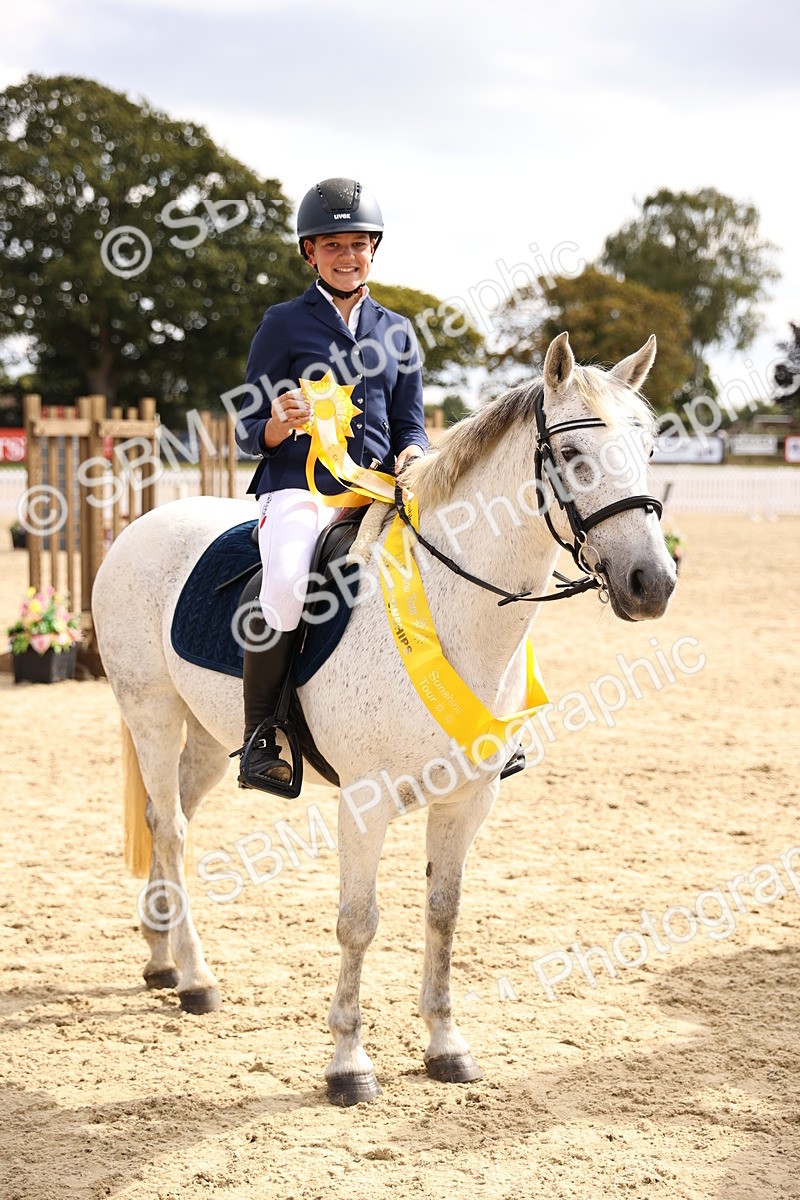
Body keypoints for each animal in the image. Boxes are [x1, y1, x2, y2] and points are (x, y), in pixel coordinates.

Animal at [92, 332, 676, 1106]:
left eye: (650, 448)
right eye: (574, 454)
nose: (653, 584)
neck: (453, 608)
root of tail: (144, 523)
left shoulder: (468, 800)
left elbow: (443, 914)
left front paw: (446, 1046)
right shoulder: (365, 802)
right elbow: (359, 924)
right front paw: (348, 1063)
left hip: (210, 735)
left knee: (175, 819)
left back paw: (161, 956)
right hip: (151, 710)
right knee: (171, 826)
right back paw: (193, 977)